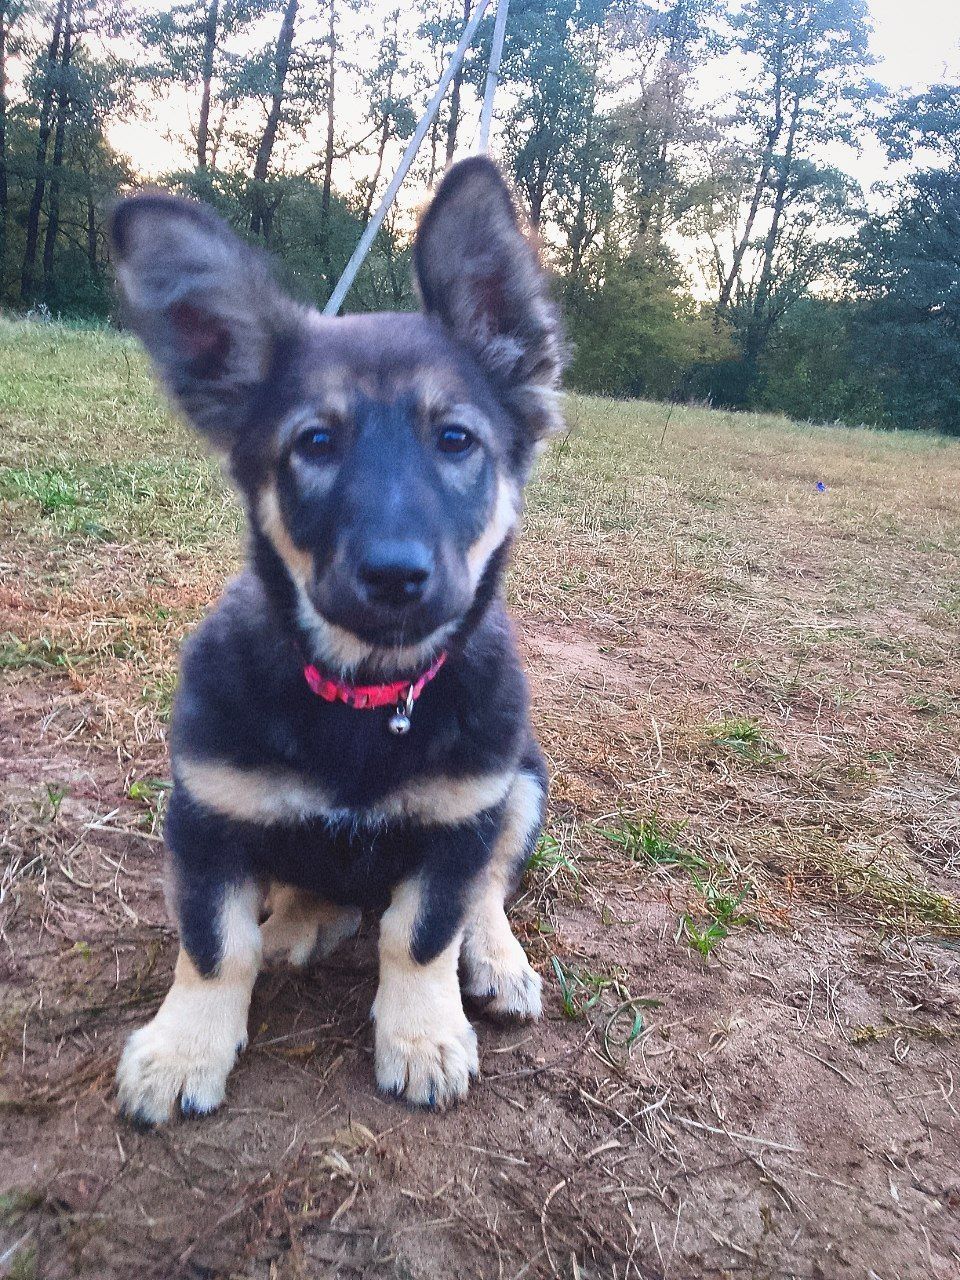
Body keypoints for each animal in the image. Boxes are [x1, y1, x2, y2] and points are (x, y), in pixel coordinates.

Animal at [110, 157, 563, 1121]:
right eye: (314, 443)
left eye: (456, 439)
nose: (394, 576)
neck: (366, 695)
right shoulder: (205, 813)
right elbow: (215, 946)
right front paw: (183, 1049)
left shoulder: (464, 815)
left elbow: (422, 933)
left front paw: (422, 1037)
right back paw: (301, 921)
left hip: (523, 782)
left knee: (488, 890)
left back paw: (496, 960)